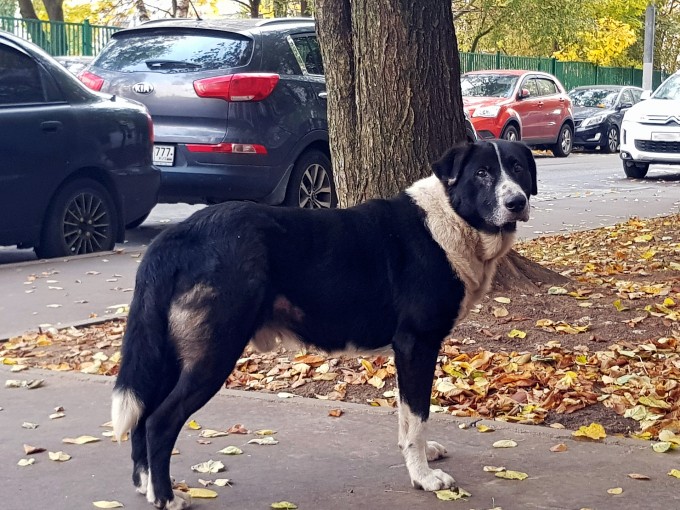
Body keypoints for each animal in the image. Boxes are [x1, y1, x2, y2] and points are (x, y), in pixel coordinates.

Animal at [111, 140, 536, 510]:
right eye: (482, 173)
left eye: (517, 167)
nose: (516, 202)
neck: (450, 218)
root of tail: (179, 234)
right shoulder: (417, 344)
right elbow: (417, 417)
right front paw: (423, 477)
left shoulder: (406, 352)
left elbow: (405, 415)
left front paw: (417, 458)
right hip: (213, 354)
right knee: (160, 421)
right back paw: (166, 498)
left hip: (171, 355)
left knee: (143, 417)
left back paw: (147, 487)